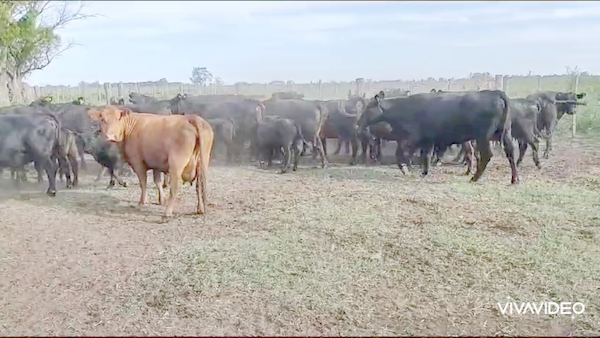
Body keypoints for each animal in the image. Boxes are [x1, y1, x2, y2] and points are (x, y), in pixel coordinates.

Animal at [358, 90, 516, 184]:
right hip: (505, 134)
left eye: (368, 108)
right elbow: (426, 156)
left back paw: (474, 177)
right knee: (510, 153)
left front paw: (405, 169)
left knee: (486, 155)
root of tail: (494, 93)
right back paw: (515, 179)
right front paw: (424, 172)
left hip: (482, 136)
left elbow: (400, 154)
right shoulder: (427, 139)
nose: (358, 122)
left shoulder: (410, 138)